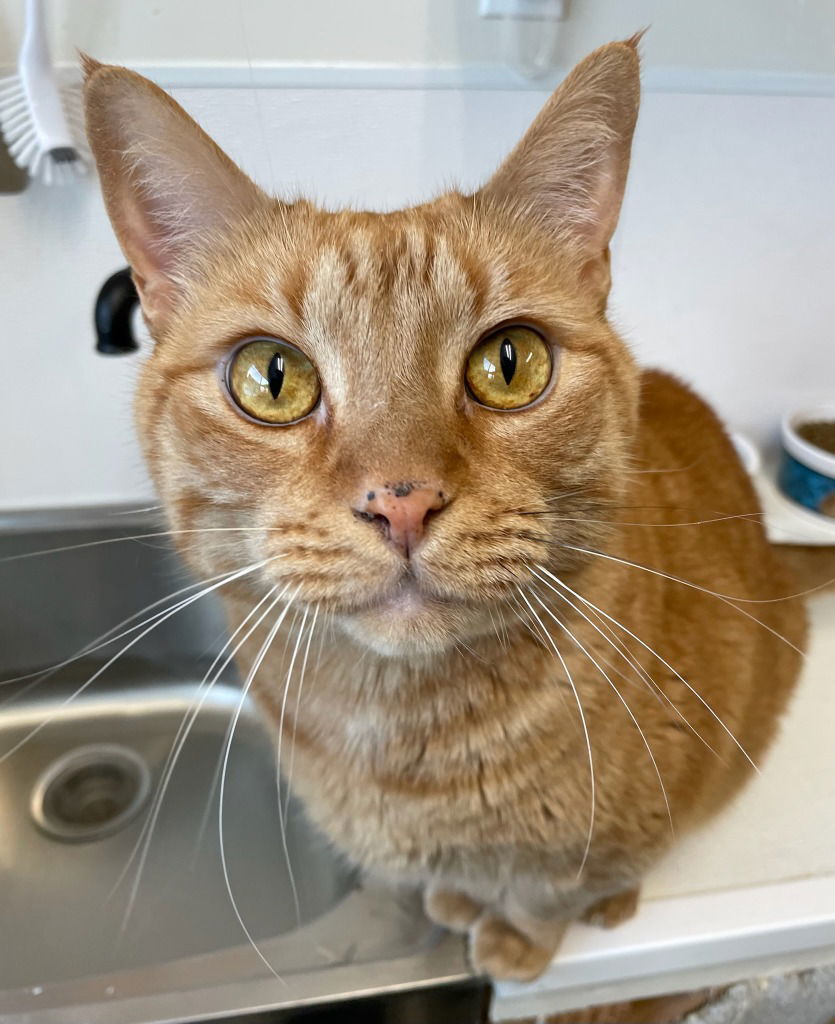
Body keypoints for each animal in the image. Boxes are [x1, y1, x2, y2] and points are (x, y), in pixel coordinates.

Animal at [83, 37, 803, 983]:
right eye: (272, 378)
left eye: (511, 362)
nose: (402, 503)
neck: (404, 751)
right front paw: (459, 900)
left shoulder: (608, 834)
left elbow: (547, 891)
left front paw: (515, 940)